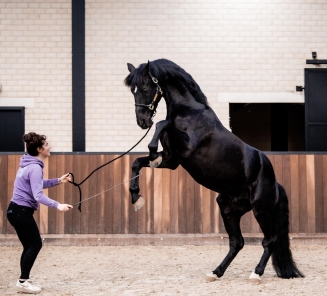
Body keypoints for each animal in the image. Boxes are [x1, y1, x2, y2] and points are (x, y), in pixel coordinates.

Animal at [124, 58, 304, 282]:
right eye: (132, 90)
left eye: (145, 87)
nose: (142, 122)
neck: (189, 111)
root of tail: (276, 183)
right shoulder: (172, 160)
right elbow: (137, 163)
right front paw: (136, 197)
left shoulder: (187, 148)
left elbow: (162, 123)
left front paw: (150, 146)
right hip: (228, 208)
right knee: (237, 242)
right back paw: (216, 272)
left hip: (260, 209)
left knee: (269, 240)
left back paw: (256, 273)